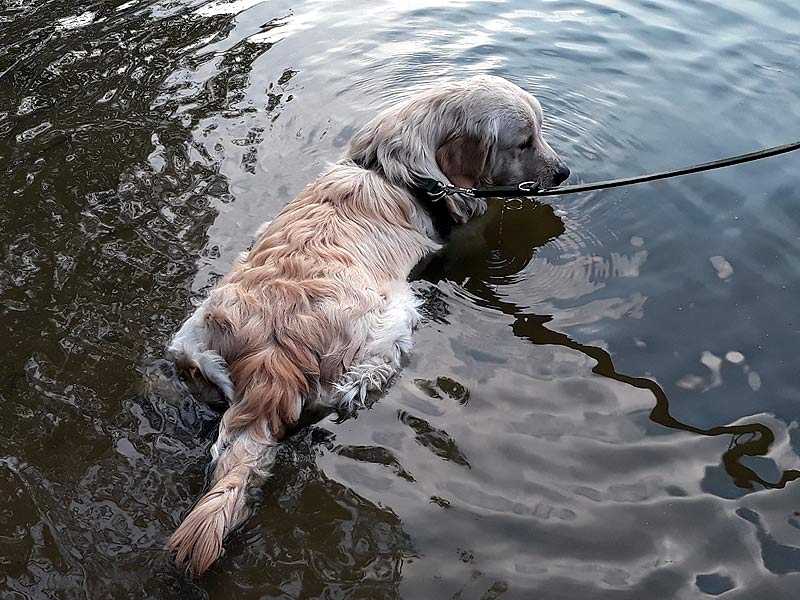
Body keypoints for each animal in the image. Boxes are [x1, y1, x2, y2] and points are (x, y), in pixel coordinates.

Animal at [167, 75, 568, 572]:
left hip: (189, 336)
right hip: (395, 318)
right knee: (347, 389)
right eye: (525, 141)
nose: (563, 173)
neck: (397, 171)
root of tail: (271, 359)